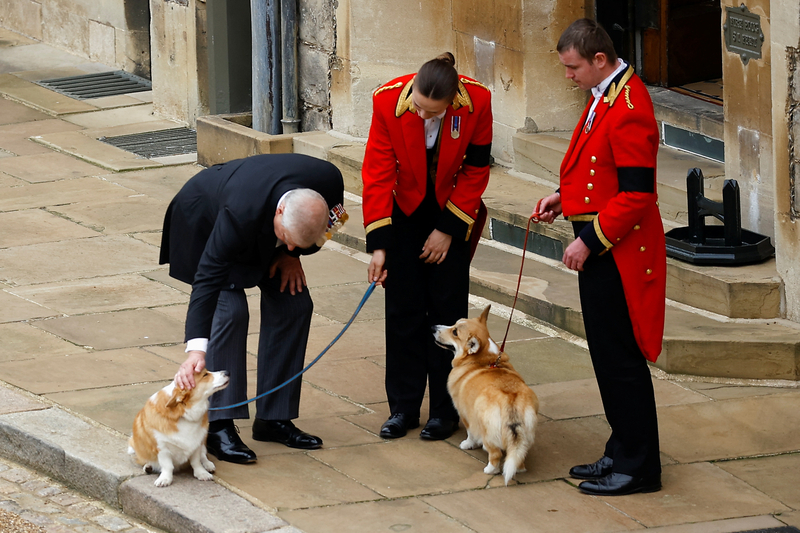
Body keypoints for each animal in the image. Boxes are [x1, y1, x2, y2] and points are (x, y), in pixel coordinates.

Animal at [434, 306, 540, 484]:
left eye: (455, 332)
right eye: (454, 324)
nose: (433, 328)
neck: (482, 359)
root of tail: (511, 400)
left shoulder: (466, 413)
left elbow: (470, 433)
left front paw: (468, 444)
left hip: (487, 430)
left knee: (495, 453)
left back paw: (490, 470)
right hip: (525, 435)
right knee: (518, 455)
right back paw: (519, 469)